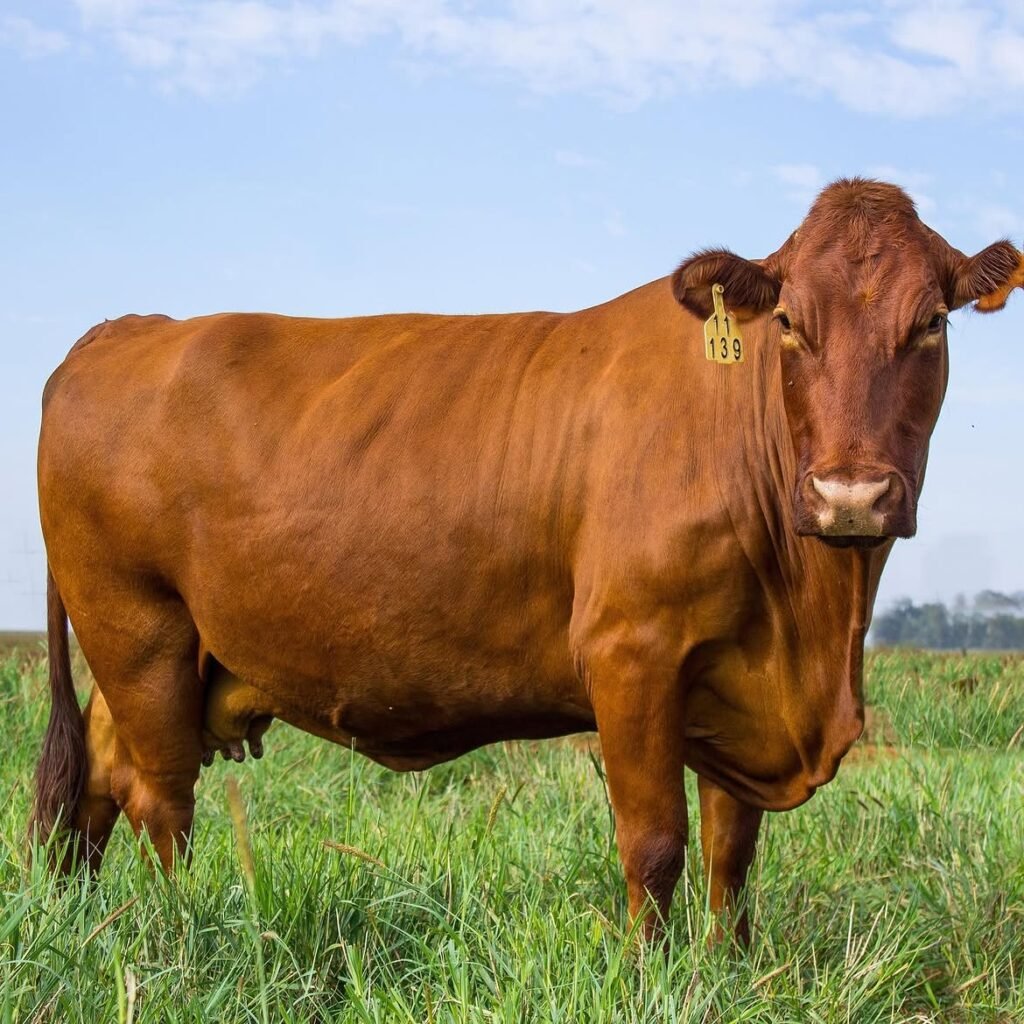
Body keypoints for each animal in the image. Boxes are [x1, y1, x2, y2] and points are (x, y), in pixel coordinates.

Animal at [32, 179, 1024, 943]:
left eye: (931, 324)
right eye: (787, 320)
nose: (850, 496)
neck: (812, 628)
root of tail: (125, 330)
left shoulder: (737, 682)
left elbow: (731, 850)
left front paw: (732, 965)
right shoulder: (632, 654)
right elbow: (654, 844)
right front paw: (649, 976)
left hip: (161, 653)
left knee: (105, 774)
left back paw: (83, 915)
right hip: (138, 630)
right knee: (161, 796)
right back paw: (183, 931)